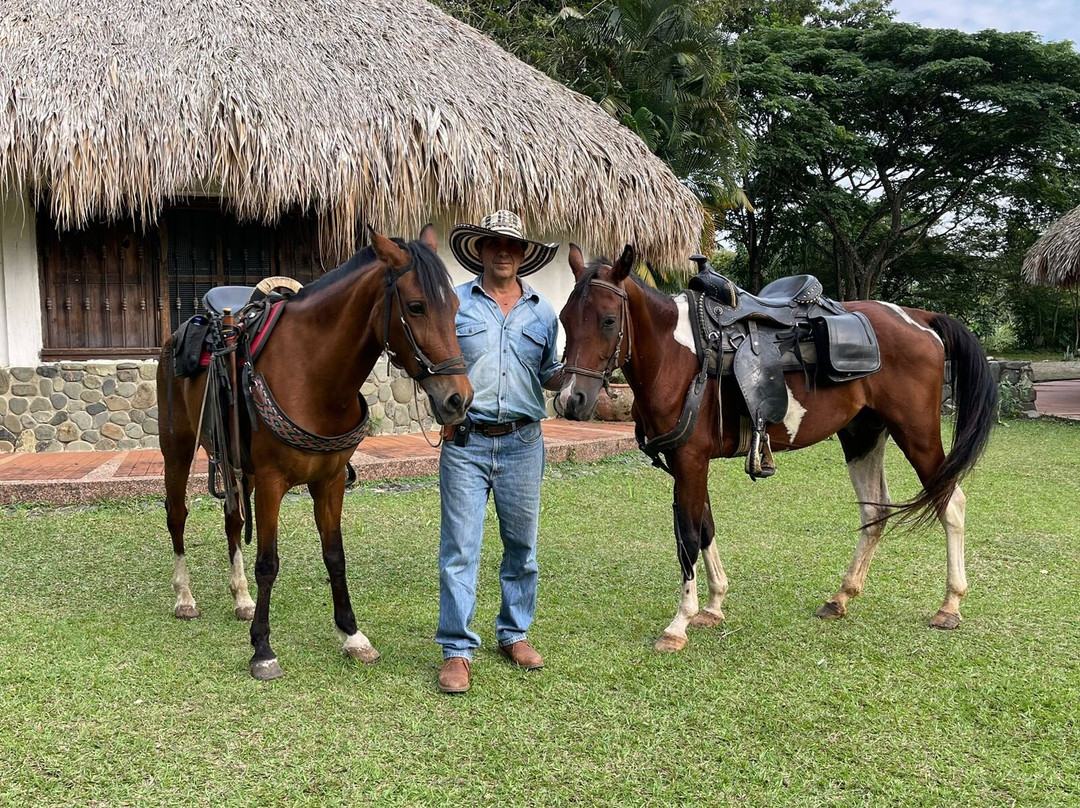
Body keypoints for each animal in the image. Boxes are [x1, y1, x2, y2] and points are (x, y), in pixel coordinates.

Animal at [157, 223, 470, 678]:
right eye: (415, 307)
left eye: (457, 307)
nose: (457, 399)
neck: (313, 374)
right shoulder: (272, 481)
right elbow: (268, 562)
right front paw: (262, 648)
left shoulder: (330, 479)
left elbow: (335, 556)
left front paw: (352, 636)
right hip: (178, 448)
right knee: (177, 516)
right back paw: (184, 597)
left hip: (239, 467)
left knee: (233, 521)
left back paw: (241, 598)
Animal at [561, 244, 997, 648]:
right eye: (564, 319)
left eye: (608, 320)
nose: (571, 399)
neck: (678, 358)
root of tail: (919, 318)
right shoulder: (688, 461)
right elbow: (705, 527)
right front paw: (713, 606)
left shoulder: (690, 460)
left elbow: (687, 536)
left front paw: (679, 624)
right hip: (862, 434)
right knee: (875, 510)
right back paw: (841, 597)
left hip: (916, 432)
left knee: (950, 503)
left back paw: (950, 605)